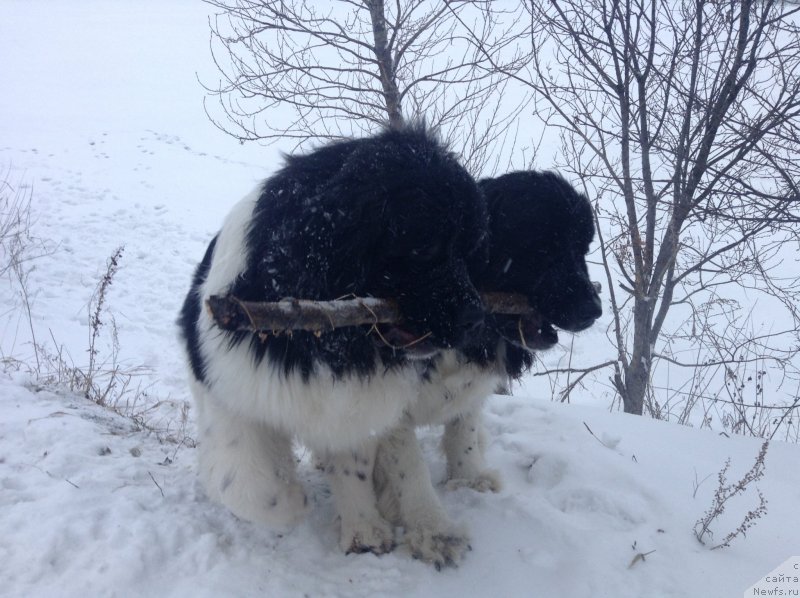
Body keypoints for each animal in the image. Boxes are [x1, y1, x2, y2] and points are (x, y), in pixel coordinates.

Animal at [180, 125, 488, 556]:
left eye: (468, 250)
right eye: (424, 246)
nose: (477, 319)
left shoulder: (352, 402)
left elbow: (355, 463)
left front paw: (364, 530)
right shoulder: (230, 391)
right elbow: (256, 490)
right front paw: (295, 499)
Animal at [374, 169, 600, 568]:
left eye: (582, 250)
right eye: (545, 247)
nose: (595, 308)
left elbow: (462, 432)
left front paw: (469, 480)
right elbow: (408, 465)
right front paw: (434, 530)